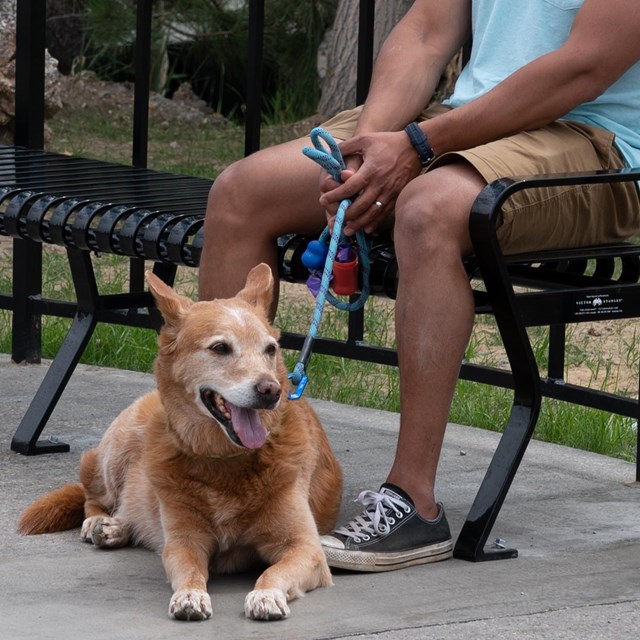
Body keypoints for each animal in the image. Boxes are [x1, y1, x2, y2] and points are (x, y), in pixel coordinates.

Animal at [17, 264, 342, 620]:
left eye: (270, 350)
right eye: (220, 348)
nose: (271, 390)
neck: (225, 461)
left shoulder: (305, 548)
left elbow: (273, 571)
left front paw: (266, 594)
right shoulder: (184, 541)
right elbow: (188, 569)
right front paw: (190, 595)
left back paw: (117, 529)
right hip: (117, 450)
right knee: (94, 495)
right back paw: (101, 523)